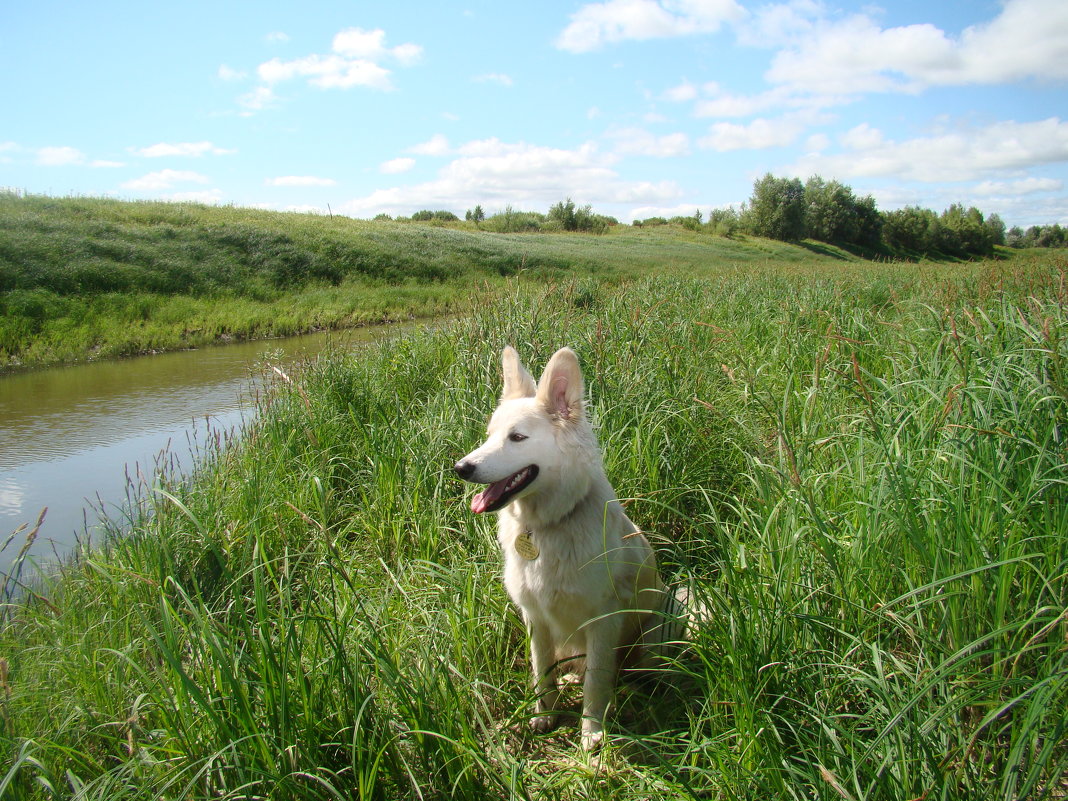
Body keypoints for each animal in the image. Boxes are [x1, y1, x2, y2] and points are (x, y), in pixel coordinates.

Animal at [454, 346, 670, 751]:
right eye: (489, 436)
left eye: (517, 437)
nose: (461, 468)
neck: (547, 527)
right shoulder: (535, 617)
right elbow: (543, 671)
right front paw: (545, 715)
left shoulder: (603, 619)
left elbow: (597, 680)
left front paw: (591, 731)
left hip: (654, 634)